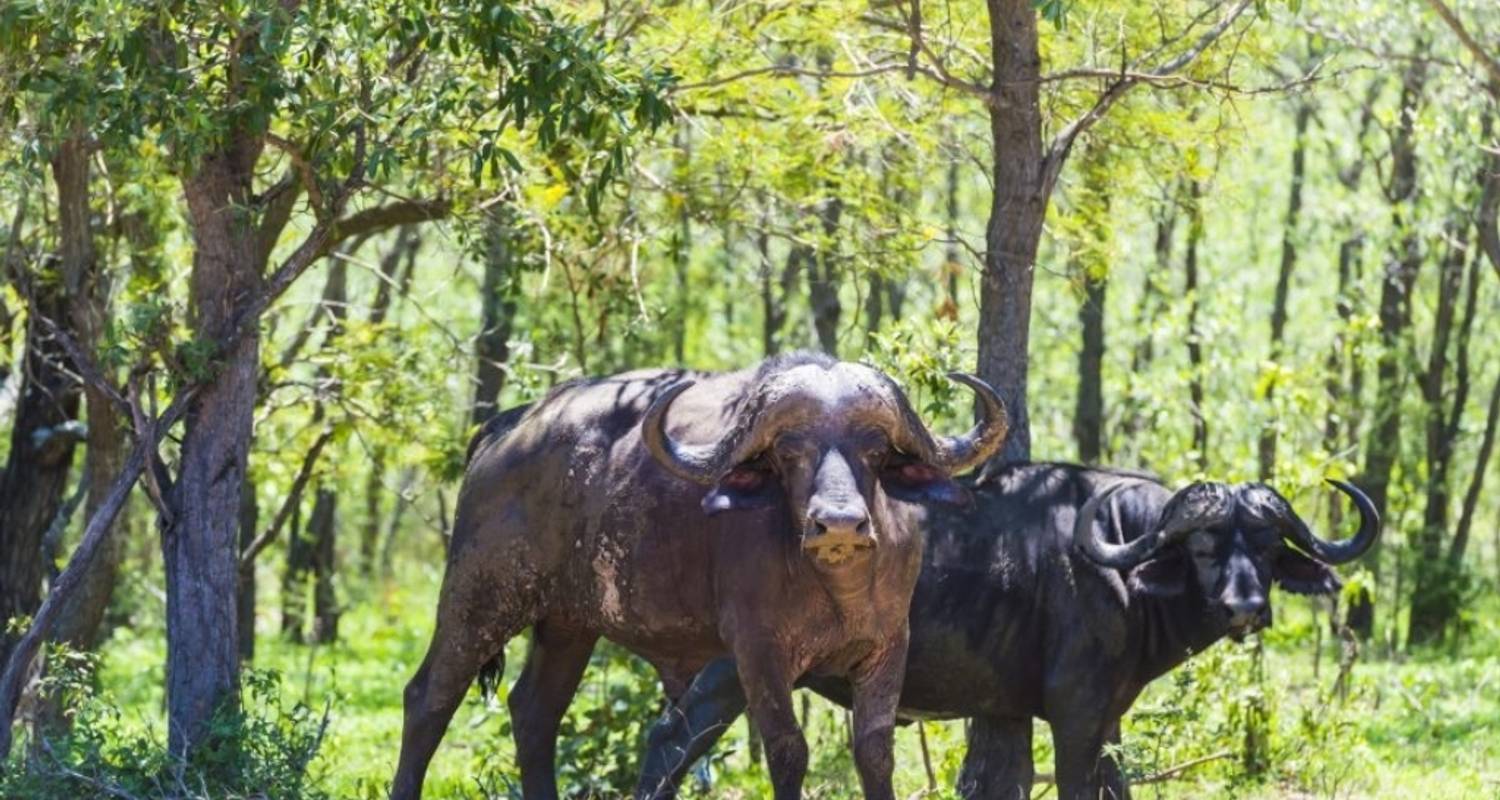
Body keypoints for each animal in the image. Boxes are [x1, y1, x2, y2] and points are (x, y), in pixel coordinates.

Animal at [387, 355, 1008, 798]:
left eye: (874, 449)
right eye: (789, 451)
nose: (838, 523)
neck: (835, 589)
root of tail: (507, 426)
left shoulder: (887, 648)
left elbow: (874, 754)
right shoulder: (758, 653)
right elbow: (788, 749)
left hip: (567, 624)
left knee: (535, 713)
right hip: (480, 599)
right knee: (429, 698)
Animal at [639, 462, 1374, 798]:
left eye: (1268, 547)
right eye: (1204, 546)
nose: (1248, 606)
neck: (1119, 567)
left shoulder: (1100, 715)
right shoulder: (1076, 715)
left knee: (667, 737)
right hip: (736, 665)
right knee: (675, 739)